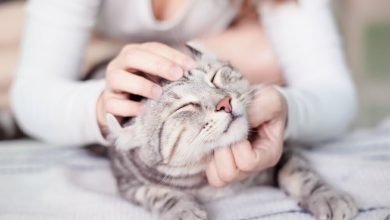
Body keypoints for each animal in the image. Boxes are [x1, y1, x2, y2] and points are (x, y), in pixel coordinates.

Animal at [105, 45, 358, 220]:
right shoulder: (129, 184)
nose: (224, 103)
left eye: (214, 78)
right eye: (185, 106)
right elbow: (159, 194)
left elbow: (301, 173)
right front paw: (184, 210)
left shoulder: (284, 151)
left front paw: (327, 196)